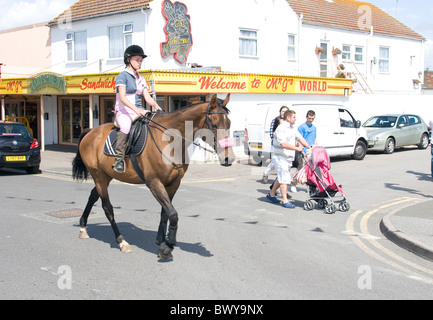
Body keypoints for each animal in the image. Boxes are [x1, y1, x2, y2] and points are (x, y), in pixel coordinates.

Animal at [71, 94, 235, 258]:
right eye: (214, 125)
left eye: (229, 123)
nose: (229, 158)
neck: (170, 140)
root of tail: (91, 131)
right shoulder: (154, 183)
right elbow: (173, 214)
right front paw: (168, 245)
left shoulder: (173, 184)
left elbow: (165, 213)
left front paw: (162, 242)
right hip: (99, 176)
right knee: (107, 208)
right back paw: (121, 241)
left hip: (106, 176)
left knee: (93, 196)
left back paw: (83, 227)